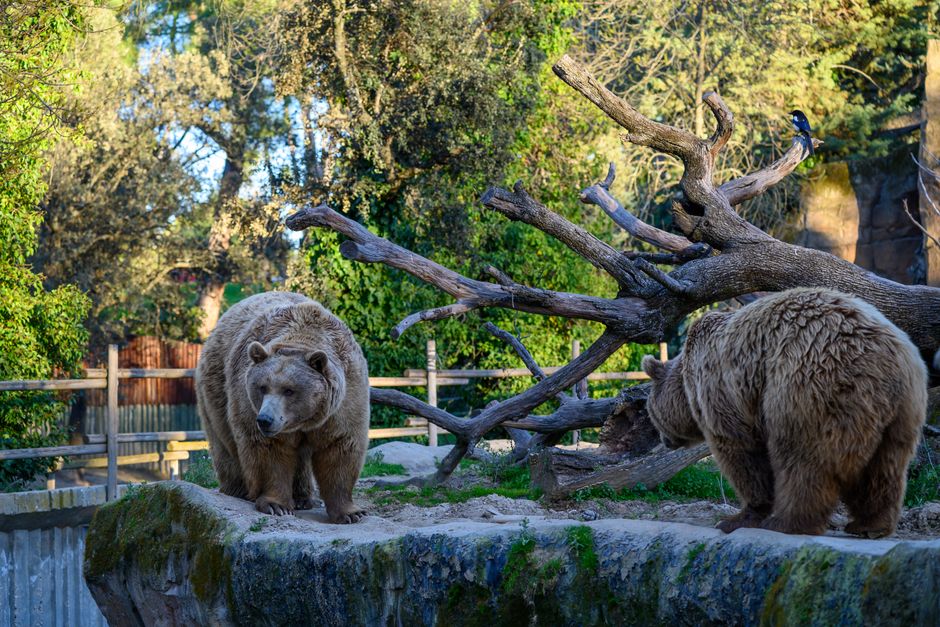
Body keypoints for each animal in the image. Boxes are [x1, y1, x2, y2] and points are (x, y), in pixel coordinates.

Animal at [196, 291, 370, 523]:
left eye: (289, 390)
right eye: (262, 387)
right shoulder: (248, 401)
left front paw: (351, 512)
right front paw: (275, 505)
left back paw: (303, 498)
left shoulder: (345, 400)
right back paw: (238, 490)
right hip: (215, 388)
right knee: (225, 442)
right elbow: (270, 452)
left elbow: (340, 448)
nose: (265, 419)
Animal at [641, 287, 927, 537]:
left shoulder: (724, 392)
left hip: (810, 386)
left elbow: (742, 453)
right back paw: (870, 525)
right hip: (903, 410)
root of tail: (888, 361)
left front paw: (736, 518)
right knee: (885, 468)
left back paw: (785, 522)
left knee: (802, 459)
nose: (664, 441)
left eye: (651, 414)